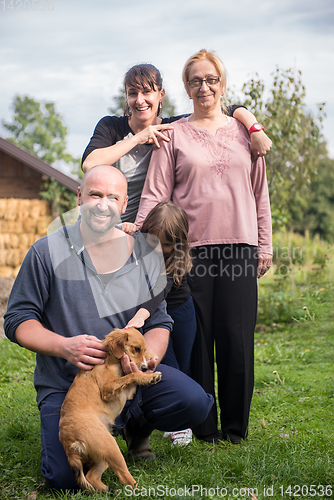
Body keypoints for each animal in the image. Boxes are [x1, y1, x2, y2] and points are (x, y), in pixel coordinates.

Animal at [58, 328, 162, 492]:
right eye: (136, 349)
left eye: (143, 349)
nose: (146, 368)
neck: (110, 358)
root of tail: (69, 443)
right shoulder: (108, 389)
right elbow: (132, 374)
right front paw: (149, 376)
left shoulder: (126, 392)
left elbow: (130, 377)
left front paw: (150, 356)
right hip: (111, 447)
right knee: (125, 478)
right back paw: (143, 490)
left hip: (103, 456)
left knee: (92, 477)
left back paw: (111, 491)